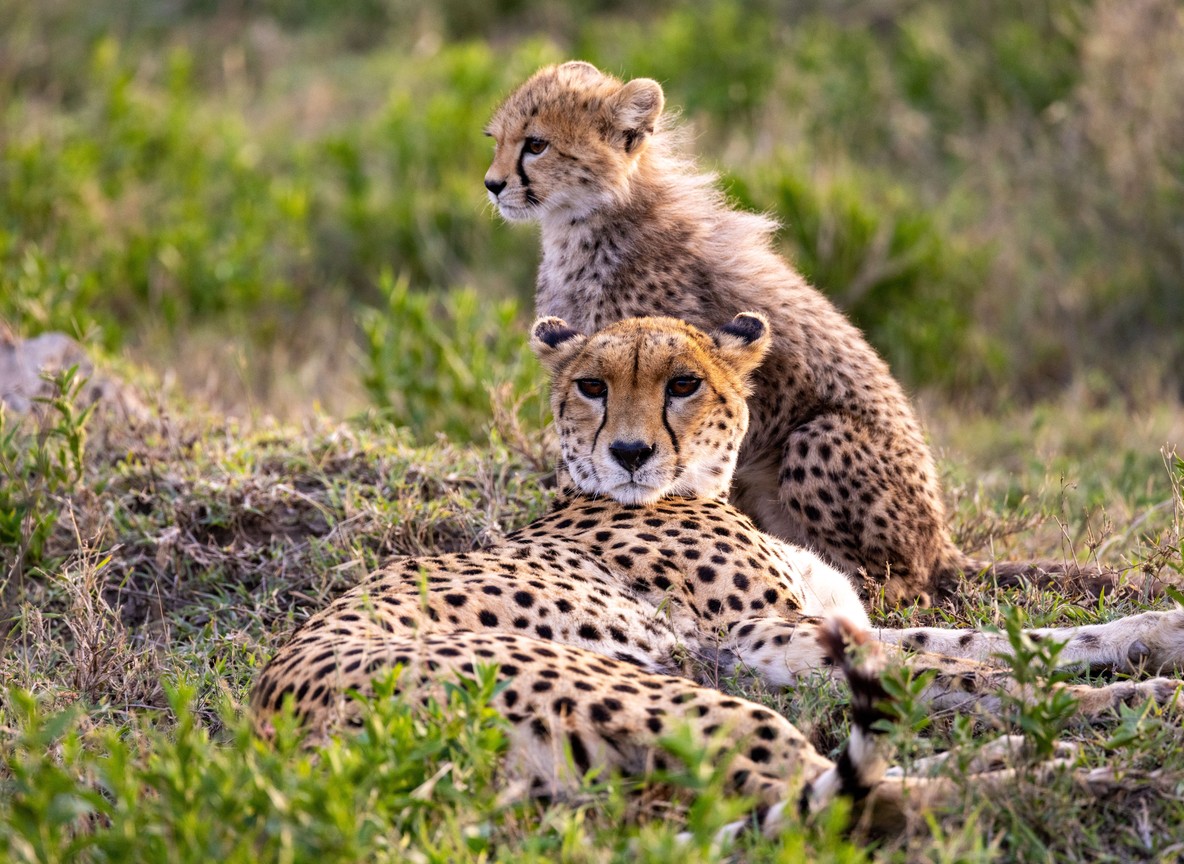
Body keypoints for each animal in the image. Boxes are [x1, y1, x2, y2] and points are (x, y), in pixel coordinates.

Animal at [252, 313, 1184, 835]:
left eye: (683, 384)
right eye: (590, 386)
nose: (629, 453)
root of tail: (285, 735)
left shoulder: (824, 622)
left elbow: (997, 641)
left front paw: (1156, 637)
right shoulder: (755, 642)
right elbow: (955, 670)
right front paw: (1124, 701)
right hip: (663, 692)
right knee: (844, 800)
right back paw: (1075, 772)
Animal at [483, 60, 1141, 605]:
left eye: (536, 144)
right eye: (498, 141)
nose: (492, 184)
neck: (590, 220)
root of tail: (942, 546)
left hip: (818, 439)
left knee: (905, 587)